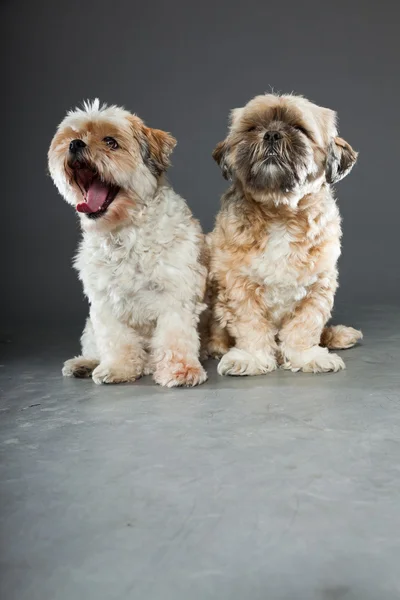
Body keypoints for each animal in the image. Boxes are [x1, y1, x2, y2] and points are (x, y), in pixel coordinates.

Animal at [48, 99, 208, 386]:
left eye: (111, 142)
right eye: (73, 136)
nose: (75, 144)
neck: (126, 231)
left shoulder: (175, 294)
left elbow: (175, 336)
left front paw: (180, 370)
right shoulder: (104, 303)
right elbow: (116, 339)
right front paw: (119, 368)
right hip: (89, 326)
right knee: (95, 346)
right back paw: (85, 363)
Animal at [206, 94, 362, 376]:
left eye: (299, 128)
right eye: (253, 128)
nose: (271, 134)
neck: (280, 213)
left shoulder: (318, 285)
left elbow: (305, 327)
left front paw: (307, 356)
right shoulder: (238, 285)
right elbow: (250, 325)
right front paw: (251, 358)